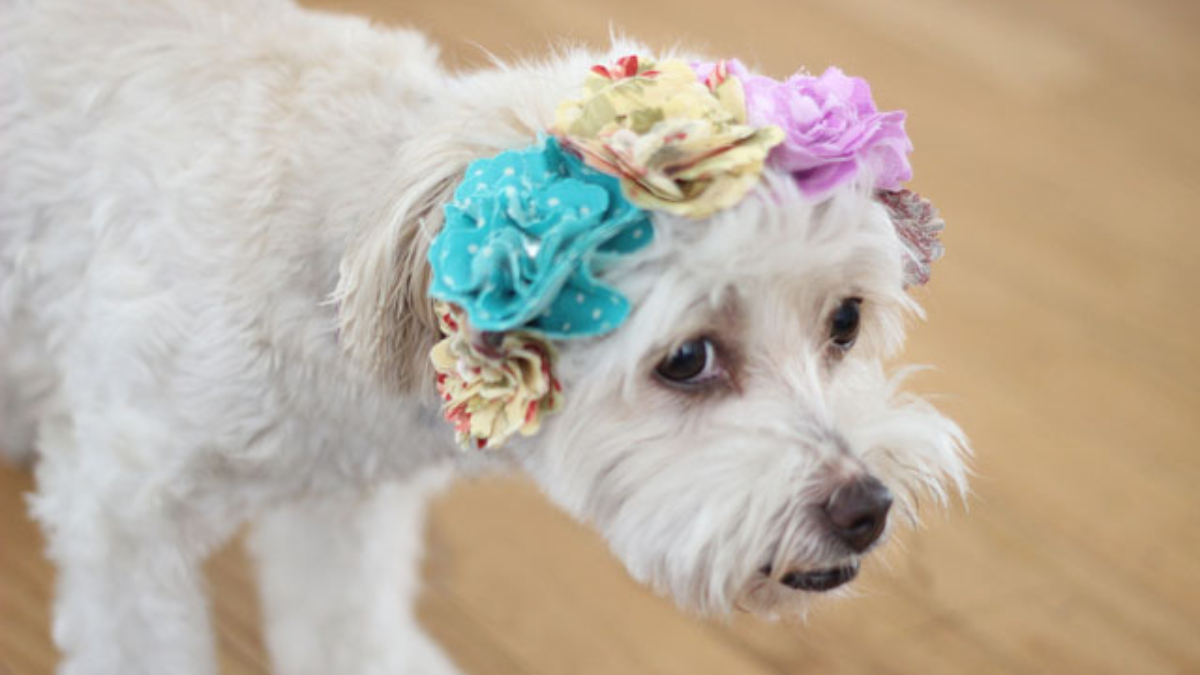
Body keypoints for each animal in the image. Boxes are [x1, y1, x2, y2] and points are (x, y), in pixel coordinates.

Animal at [0, 1, 964, 672]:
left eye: (845, 320)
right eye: (687, 359)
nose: (866, 507)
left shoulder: (342, 503)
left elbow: (343, 624)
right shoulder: (123, 514)